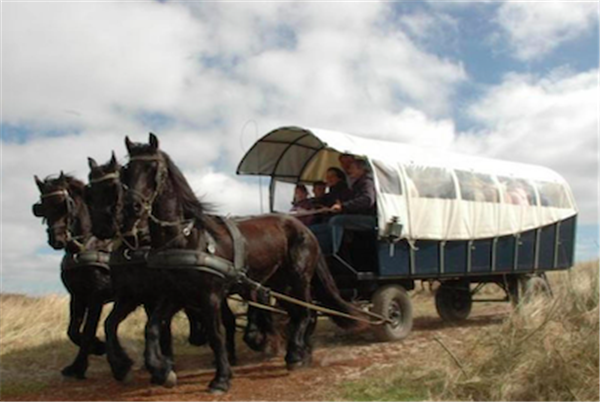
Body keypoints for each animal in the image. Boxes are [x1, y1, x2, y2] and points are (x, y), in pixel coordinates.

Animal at [32, 172, 113, 376]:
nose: (57, 240)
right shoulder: (77, 296)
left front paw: (79, 366)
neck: (82, 249)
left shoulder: (96, 297)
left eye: (65, 204)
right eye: (41, 208)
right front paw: (98, 347)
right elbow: (73, 331)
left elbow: (88, 331)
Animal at [86, 152, 213, 382]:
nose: (101, 229)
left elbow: (158, 326)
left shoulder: (162, 295)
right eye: (89, 193)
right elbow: (110, 324)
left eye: (114, 187)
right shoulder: (130, 296)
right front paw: (121, 365)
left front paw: (161, 366)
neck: (137, 247)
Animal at [122, 134, 364, 392]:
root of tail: (304, 229)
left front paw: (221, 378)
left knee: (307, 313)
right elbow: (151, 328)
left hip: (299, 278)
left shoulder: (210, 296)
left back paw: (295, 355)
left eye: (153, 168)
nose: (132, 207)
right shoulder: (176, 294)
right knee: (300, 314)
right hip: (280, 285)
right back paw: (301, 353)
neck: (186, 238)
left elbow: (216, 334)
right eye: (126, 170)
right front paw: (161, 370)